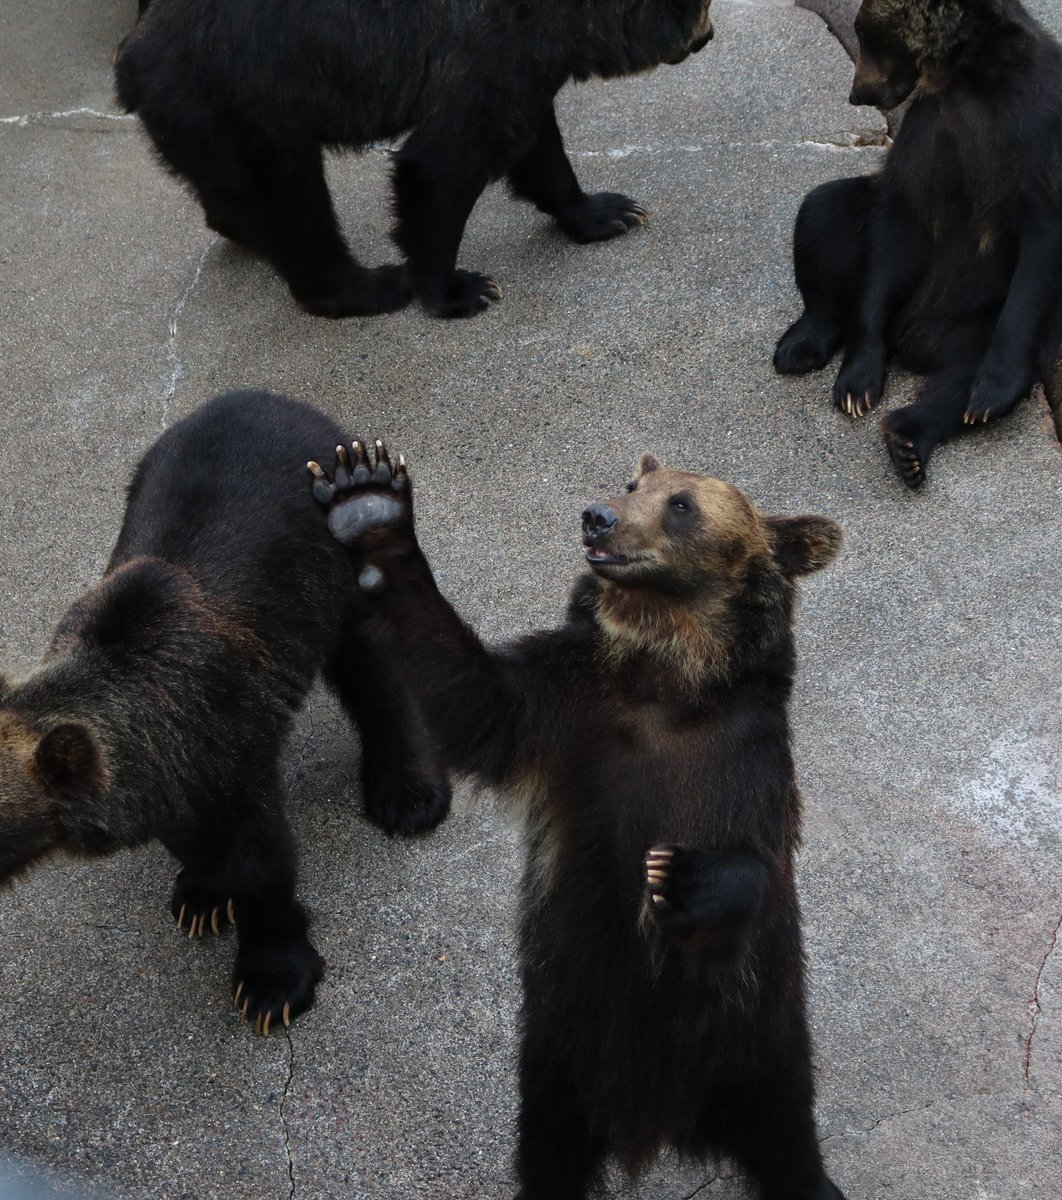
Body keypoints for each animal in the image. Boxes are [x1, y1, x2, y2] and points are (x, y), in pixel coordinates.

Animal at [0, 391, 446, 1032]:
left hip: (327, 566)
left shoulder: (226, 736)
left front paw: (271, 978)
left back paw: (406, 792)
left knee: (374, 663)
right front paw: (202, 896)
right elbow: (193, 839)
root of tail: (284, 401)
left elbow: (257, 853)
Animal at [114, 0, 710, 319]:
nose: (705, 39)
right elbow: (444, 160)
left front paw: (610, 212)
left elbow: (535, 141)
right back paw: (371, 286)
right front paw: (461, 290)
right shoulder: (490, 48)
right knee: (294, 202)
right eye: (702, 7)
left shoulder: (526, 64)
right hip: (245, 102)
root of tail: (131, 58)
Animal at [304, 441, 844, 1200]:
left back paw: (817, 1180)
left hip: (758, 1042)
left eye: (681, 503)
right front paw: (368, 500)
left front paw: (674, 875)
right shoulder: (569, 713)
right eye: (632, 483)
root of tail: (661, 1123)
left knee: (788, 1132)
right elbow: (476, 698)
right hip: (559, 1059)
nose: (598, 516)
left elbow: (758, 865)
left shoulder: (747, 758)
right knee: (551, 1148)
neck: (668, 678)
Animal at [772, 0, 1060, 492]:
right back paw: (802, 344)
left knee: (961, 373)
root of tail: (912, 338)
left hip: (972, 321)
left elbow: (1040, 241)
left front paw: (994, 388)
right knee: (825, 210)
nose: (857, 94)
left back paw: (913, 437)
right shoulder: (933, 127)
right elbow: (900, 218)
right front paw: (858, 380)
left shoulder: (1032, 131)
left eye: (865, 35)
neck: (971, 80)